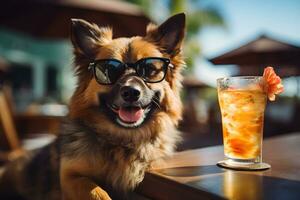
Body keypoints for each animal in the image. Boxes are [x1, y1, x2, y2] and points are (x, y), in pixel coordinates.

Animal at [0, 12, 185, 200]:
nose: (131, 93)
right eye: (109, 70)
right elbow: (96, 192)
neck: (122, 140)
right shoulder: (70, 176)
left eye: (148, 69)